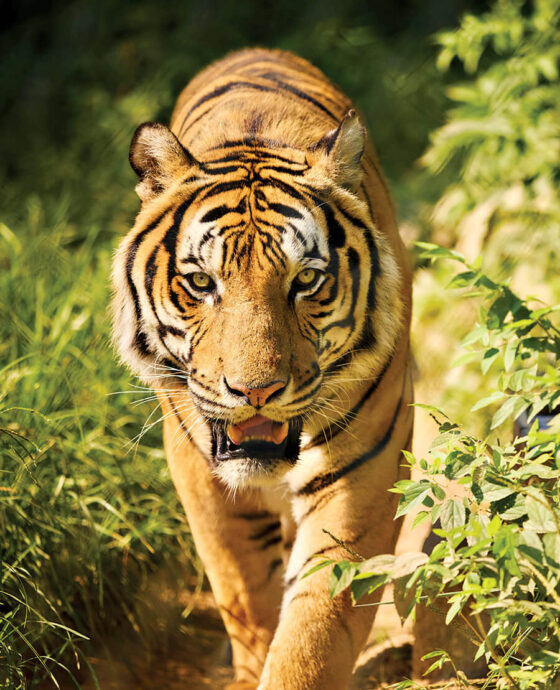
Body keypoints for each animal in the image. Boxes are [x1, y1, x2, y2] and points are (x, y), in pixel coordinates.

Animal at [111, 48, 413, 690]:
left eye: (307, 280)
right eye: (202, 282)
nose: (256, 392)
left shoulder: (362, 471)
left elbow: (315, 628)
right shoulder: (199, 472)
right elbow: (245, 594)